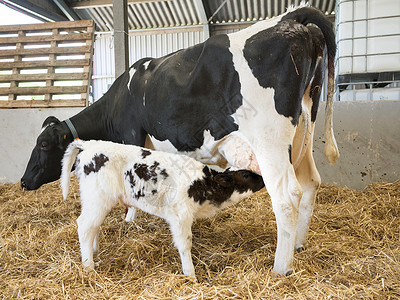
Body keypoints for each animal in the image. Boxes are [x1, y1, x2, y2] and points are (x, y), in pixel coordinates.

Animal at [60, 139, 266, 278]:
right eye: (246, 174)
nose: (263, 178)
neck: (203, 183)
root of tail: (89, 144)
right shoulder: (180, 215)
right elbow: (185, 244)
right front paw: (190, 274)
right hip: (98, 198)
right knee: (85, 226)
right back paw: (88, 266)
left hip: (94, 201)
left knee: (93, 226)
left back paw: (94, 252)